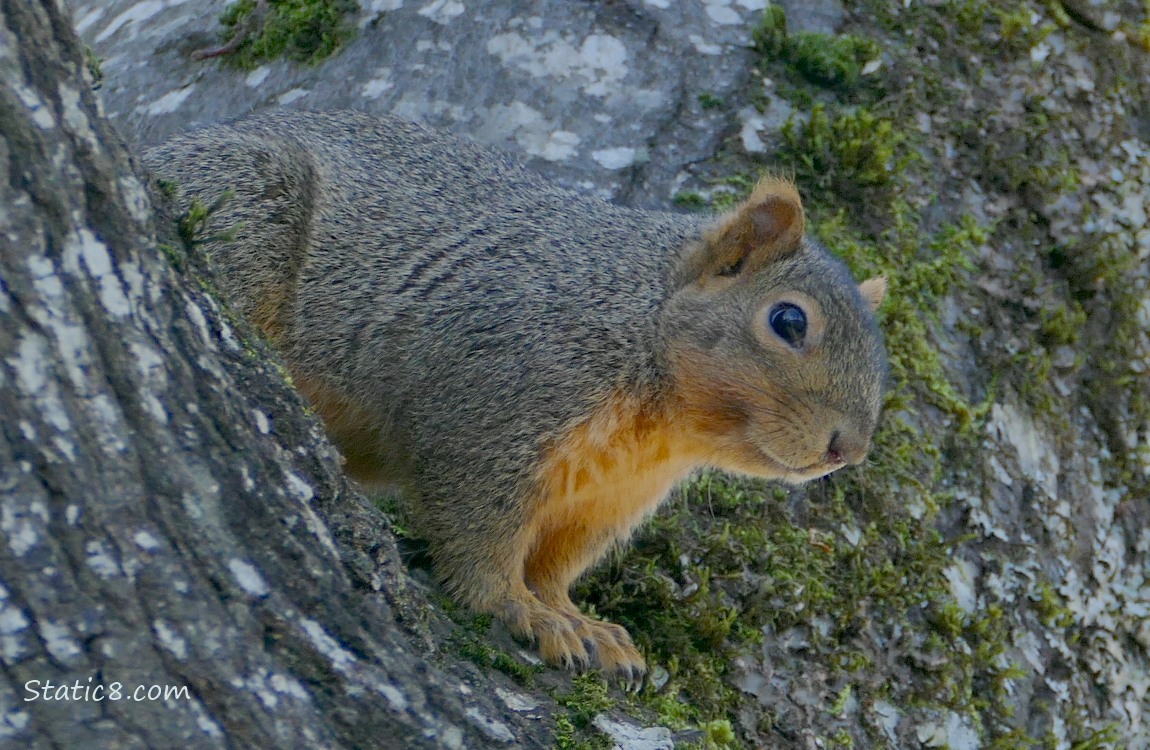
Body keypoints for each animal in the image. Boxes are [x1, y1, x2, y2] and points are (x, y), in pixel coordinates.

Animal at [143, 109, 892, 680]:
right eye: (788, 321)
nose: (847, 450)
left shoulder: (603, 499)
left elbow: (554, 563)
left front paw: (578, 620)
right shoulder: (489, 406)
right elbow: (481, 534)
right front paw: (520, 612)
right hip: (249, 203)